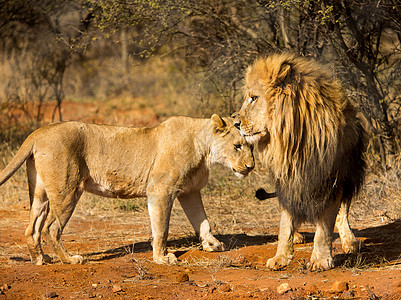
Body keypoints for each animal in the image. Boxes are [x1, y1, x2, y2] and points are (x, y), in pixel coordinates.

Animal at [0, 115, 253, 264]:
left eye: (251, 147)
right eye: (237, 146)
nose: (251, 167)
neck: (205, 149)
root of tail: (37, 133)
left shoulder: (190, 192)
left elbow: (202, 220)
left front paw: (212, 244)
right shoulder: (160, 189)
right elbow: (162, 228)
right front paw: (162, 257)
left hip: (40, 192)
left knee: (32, 229)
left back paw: (40, 259)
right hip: (67, 189)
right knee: (51, 228)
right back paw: (70, 260)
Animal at [234, 52, 366, 270]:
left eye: (254, 98)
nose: (235, 123)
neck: (292, 141)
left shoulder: (329, 183)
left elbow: (324, 228)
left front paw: (320, 260)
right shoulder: (288, 181)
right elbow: (285, 223)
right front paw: (281, 257)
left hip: (349, 175)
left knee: (342, 212)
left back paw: (350, 242)